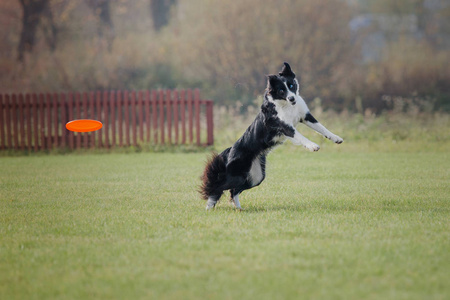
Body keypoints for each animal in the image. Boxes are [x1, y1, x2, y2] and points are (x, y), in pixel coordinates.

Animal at [199, 62, 342, 210]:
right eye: (281, 90)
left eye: (291, 85)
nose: (292, 98)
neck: (287, 105)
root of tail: (230, 151)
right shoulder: (285, 127)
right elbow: (301, 137)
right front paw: (313, 146)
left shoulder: (305, 116)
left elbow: (322, 128)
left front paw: (336, 138)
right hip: (237, 175)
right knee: (218, 187)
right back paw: (209, 208)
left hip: (255, 176)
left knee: (234, 190)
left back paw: (238, 208)